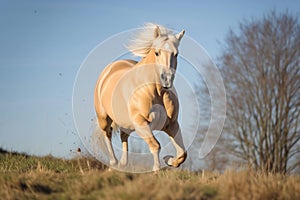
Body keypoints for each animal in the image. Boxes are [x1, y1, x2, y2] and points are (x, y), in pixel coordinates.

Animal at [95, 23, 186, 170]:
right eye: (157, 52)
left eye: (176, 54)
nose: (167, 80)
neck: (156, 92)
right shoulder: (141, 123)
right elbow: (156, 145)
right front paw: (157, 169)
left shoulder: (171, 125)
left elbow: (183, 153)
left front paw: (169, 160)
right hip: (103, 118)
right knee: (107, 134)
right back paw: (113, 163)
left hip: (125, 123)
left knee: (123, 136)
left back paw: (123, 164)